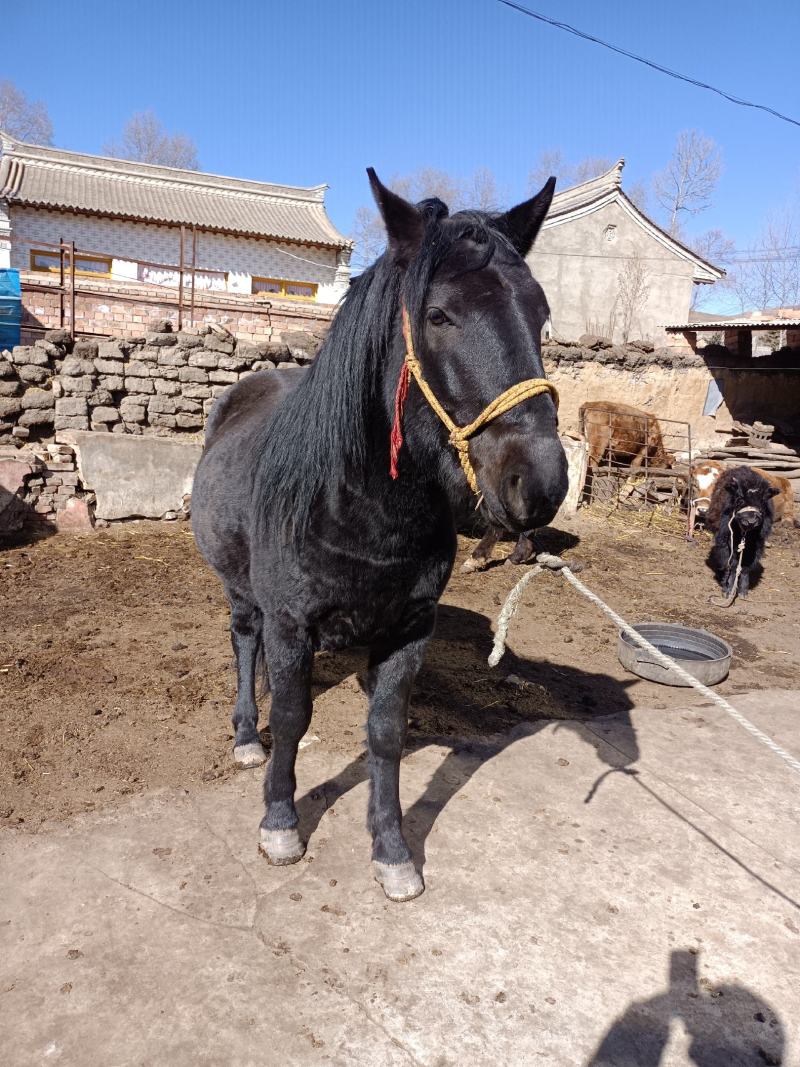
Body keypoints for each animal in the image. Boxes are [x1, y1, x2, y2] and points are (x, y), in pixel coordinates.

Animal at [191, 169, 568, 902]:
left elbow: (387, 732)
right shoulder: (289, 623)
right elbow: (293, 720)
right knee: (244, 644)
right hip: (240, 591)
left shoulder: (408, 631)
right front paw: (280, 822)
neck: (357, 512)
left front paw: (393, 849)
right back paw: (246, 734)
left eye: (540, 315)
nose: (539, 484)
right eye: (439, 315)